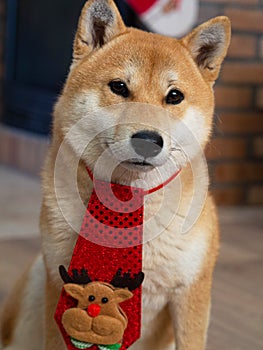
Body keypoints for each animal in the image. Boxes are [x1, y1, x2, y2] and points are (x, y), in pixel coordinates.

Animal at [0, 0, 231, 350]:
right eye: (119, 87)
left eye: (174, 96)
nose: (148, 140)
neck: (126, 198)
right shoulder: (58, 286)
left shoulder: (191, 292)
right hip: (37, 281)